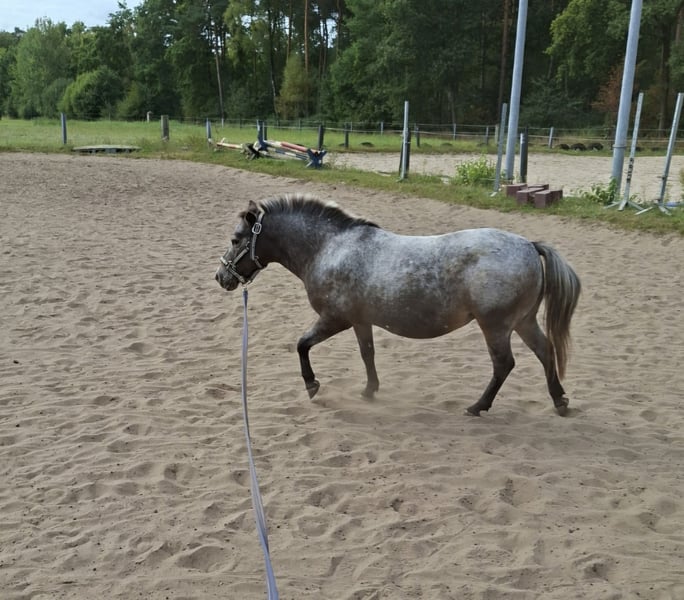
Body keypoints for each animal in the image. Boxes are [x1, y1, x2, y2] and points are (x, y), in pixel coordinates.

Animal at [215, 194, 581, 416]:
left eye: (235, 239)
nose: (221, 277)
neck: (329, 248)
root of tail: (529, 246)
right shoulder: (360, 321)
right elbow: (368, 354)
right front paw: (369, 391)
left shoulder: (335, 318)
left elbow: (302, 344)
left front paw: (312, 386)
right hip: (523, 321)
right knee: (545, 351)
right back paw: (560, 400)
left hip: (496, 326)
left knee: (504, 364)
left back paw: (478, 406)